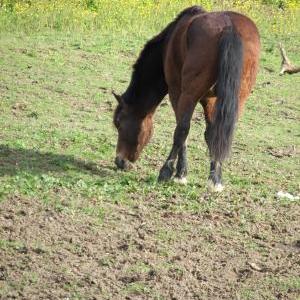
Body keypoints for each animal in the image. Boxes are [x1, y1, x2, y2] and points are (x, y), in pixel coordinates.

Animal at [112, 5, 260, 192]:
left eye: (118, 123)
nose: (120, 161)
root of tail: (228, 26)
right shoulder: (210, 100)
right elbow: (211, 134)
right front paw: (214, 178)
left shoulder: (177, 93)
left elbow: (182, 131)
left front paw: (179, 174)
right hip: (238, 98)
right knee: (221, 132)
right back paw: (216, 179)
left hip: (189, 93)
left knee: (182, 129)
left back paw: (166, 172)